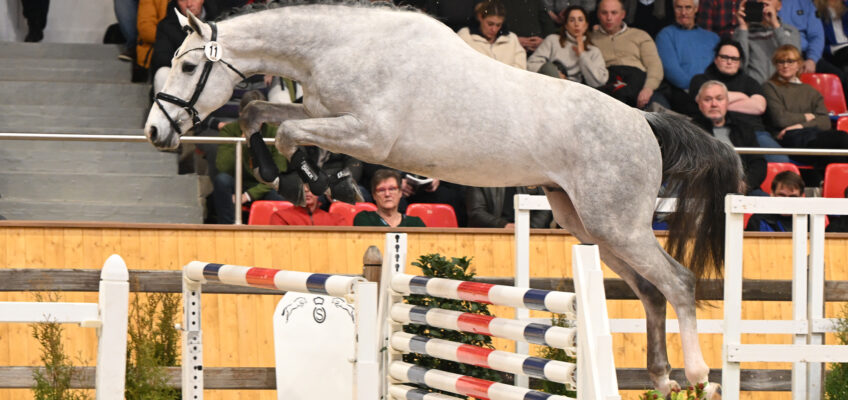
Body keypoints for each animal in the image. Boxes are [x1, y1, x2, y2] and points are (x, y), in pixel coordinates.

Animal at [144, 2, 744, 396]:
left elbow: (292, 135)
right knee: (650, 292)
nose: (155, 132)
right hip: (588, 223)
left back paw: (698, 377)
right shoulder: (324, 113)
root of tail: (644, 120)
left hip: (617, 224)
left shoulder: (367, 134)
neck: (340, 47)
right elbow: (258, 113)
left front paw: (320, 179)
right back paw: (661, 376)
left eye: (190, 66)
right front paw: (282, 171)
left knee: (678, 283)